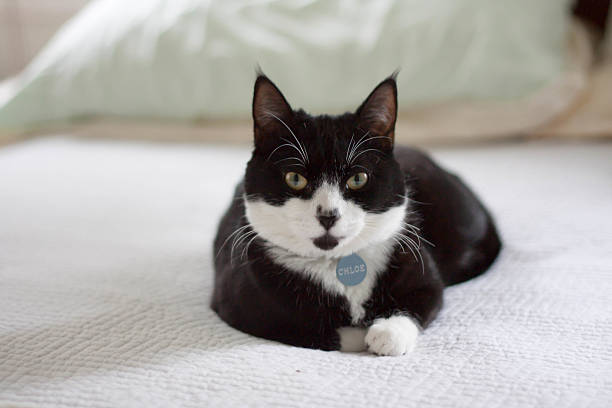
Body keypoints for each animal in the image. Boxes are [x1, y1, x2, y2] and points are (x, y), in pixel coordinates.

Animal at [213, 74, 500, 356]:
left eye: (358, 178)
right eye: (295, 178)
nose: (328, 215)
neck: (335, 264)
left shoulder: (418, 264)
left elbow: (427, 296)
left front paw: (387, 334)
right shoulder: (241, 304)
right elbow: (319, 331)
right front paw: (363, 335)